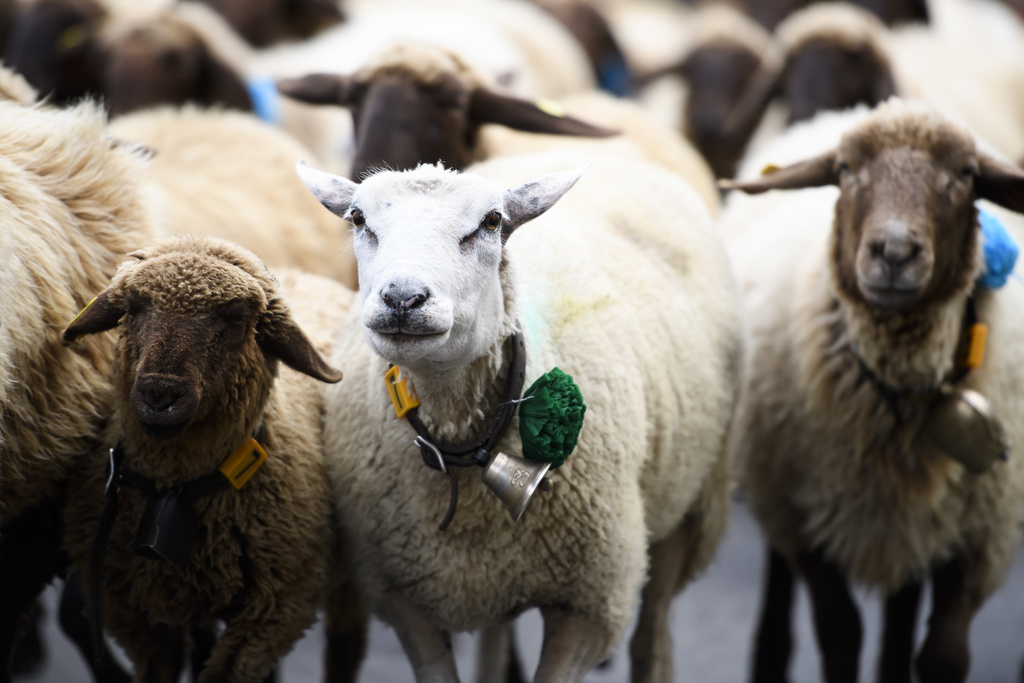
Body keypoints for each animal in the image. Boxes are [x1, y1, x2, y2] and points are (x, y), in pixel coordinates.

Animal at [299, 150, 741, 683]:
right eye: (359, 219)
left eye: (491, 222)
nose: (403, 299)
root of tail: (623, 156)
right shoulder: (401, 598)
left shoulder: (589, 603)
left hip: (692, 504)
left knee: (653, 634)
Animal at [720, 97, 1024, 683]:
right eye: (845, 170)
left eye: (965, 174)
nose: (895, 251)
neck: (903, 393)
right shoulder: (811, 521)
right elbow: (840, 636)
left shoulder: (982, 535)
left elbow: (942, 657)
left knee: (901, 610)